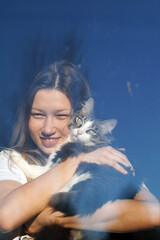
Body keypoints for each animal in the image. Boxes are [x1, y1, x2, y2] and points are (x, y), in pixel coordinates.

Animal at [11, 98, 141, 240]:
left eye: (91, 131)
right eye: (79, 120)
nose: (79, 132)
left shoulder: (54, 166)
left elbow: (34, 169)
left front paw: (14, 155)